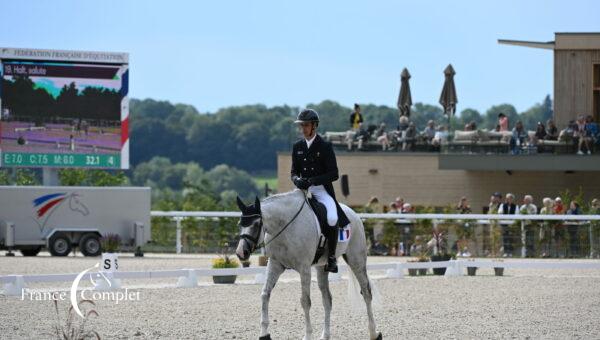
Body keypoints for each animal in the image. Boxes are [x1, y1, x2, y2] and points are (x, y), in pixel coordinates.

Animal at [234, 190, 380, 340]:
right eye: (240, 224)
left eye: (256, 224)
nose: (241, 253)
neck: (284, 226)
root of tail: (354, 214)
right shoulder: (275, 264)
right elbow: (265, 294)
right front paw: (264, 334)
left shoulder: (304, 269)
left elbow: (305, 301)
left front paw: (307, 335)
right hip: (322, 267)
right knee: (327, 299)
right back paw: (325, 335)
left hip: (356, 260)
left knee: (366, 293)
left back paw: (374, 333)